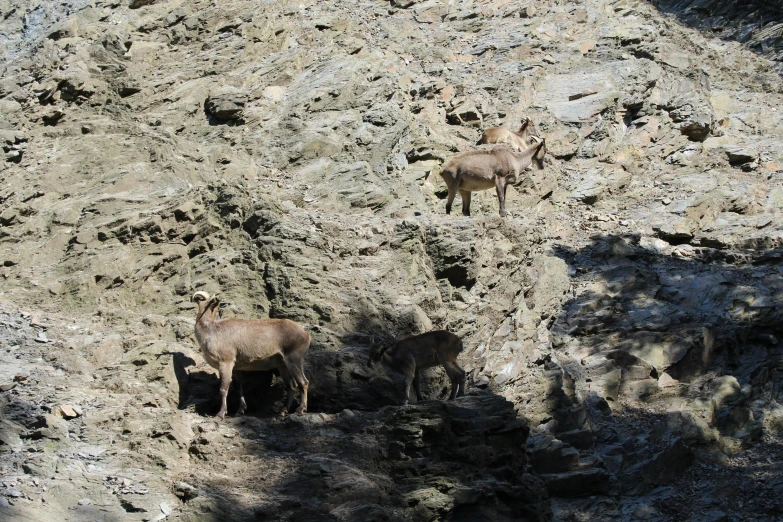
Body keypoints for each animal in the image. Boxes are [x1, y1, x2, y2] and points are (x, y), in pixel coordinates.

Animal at [191, 290, 310, 420]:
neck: (210, 331)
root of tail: (306, 335)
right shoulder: (236, 368)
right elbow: (238, 388)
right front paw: (240, 411)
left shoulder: (226, 362)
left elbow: (223, 389)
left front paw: (220, 414)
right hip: (283, 366)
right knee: (290, 387)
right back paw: (281, 412)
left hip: (294, 360)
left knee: (303, 383)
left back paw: (300, 410)